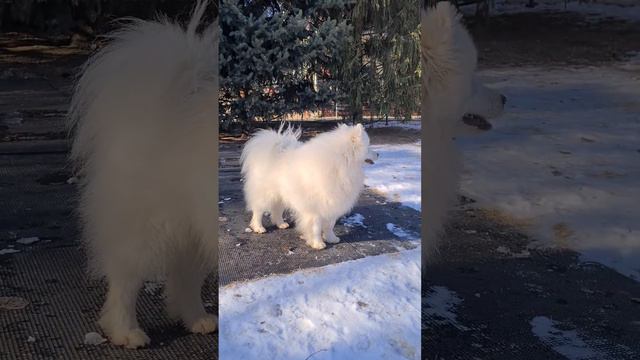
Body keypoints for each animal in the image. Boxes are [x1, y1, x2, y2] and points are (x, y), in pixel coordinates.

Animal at [68, 0, 218, 348]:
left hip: (191, 223)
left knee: (183, 276)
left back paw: (197, 319)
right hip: (149, 226)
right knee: (125, 280)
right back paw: (126, 331)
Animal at [240, 124, 380, 250]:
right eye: (368, 147)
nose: (379, 154)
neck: (341, 166)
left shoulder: (332, 205)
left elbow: (329, 225)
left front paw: (331, 238)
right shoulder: (315, 208)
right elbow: (316, 228)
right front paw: (317, 244)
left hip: (281, 195)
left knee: (276, 209)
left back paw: (281, 224)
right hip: (266, 195)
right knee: (258, 211)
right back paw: (259, 227)